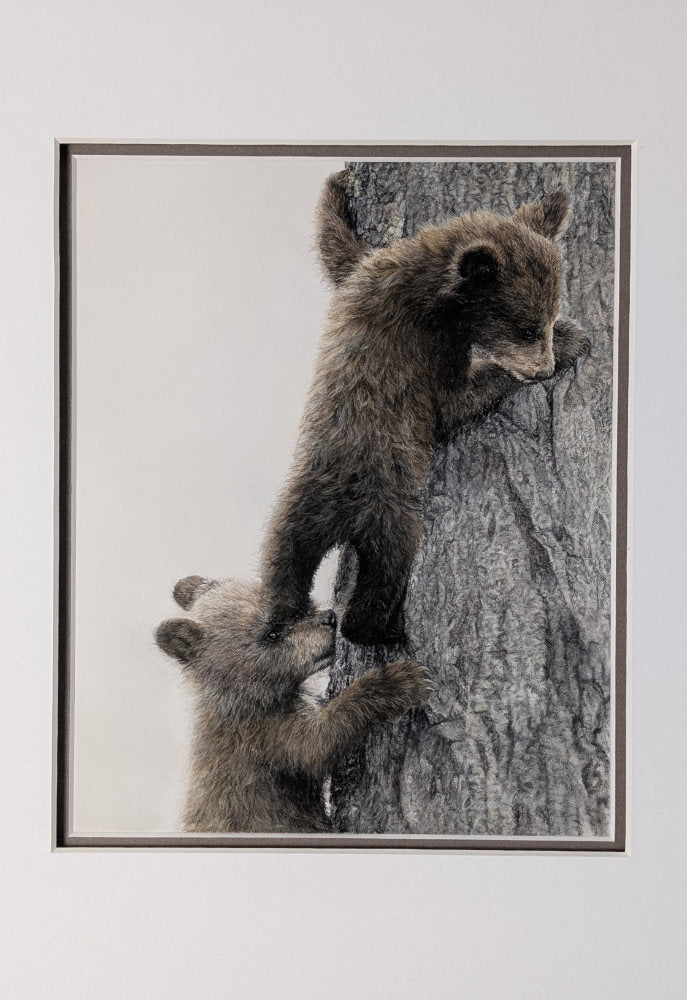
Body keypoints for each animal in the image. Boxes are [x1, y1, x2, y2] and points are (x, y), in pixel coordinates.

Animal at [154, 574, 428, 833]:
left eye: (299, 607)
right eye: (272, 633)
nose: (329, 618)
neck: (248, 696)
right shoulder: (264, 736)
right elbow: (317, 743)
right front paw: (399, 680)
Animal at [259, 171, 591, 646]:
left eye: (545, 317)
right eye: (528, 328)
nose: (543, 370)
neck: (431, 289)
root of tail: (337, 514)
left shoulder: (364, 274)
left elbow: (337, 249)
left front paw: (335, 189)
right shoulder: (424, 343)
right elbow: (453, 399)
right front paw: (572, 340)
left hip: (293, 515)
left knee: (281, 568)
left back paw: (282, 619)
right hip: (388, 513)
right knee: (387, 570)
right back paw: (381, 630)